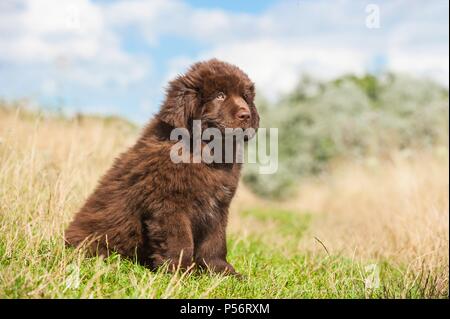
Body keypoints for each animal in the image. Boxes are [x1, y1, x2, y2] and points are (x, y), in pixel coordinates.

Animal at [64, 58, 260, 276]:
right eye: (220, 95)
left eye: (245, 98)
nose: (246, 115)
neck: (204, 151)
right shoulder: (168, 204)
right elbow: (180, 241)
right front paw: (180, 271)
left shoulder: (218, 207)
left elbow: (215, 242)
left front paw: (222, 271)